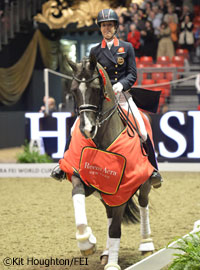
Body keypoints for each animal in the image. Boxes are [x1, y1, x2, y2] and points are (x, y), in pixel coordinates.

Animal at [59, 54, 156, 270]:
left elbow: (116, 230)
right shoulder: (83, 180)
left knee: (143, 204)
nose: (87, 129)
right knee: (110, 215)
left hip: (144, 183)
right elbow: (78, 198)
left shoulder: (123, 188)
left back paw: (146, 244)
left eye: (96, 89)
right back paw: (105, 251)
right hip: (103, 194)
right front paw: (87, 243)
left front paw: (112, 264)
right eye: (73, 90)